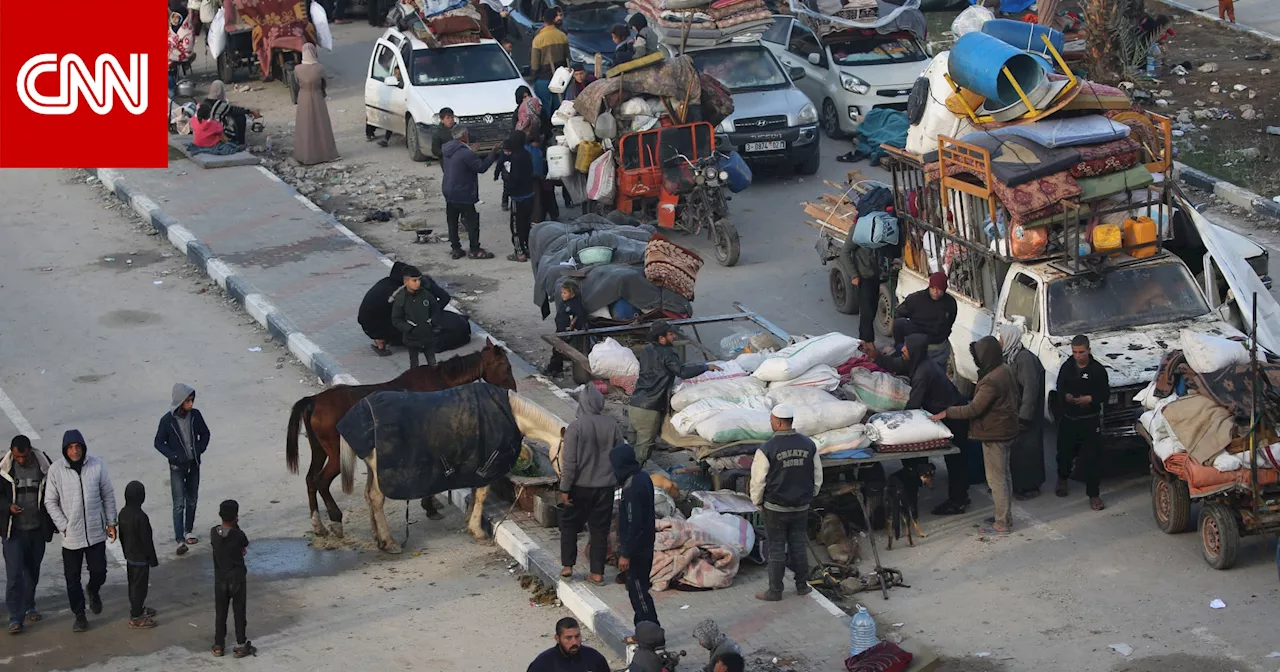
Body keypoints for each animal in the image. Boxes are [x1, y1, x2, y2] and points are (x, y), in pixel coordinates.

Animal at [285, 340, 514, 535]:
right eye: (505, 365)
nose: (512, 389)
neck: (439, 381)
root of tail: (314, 400)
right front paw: (430, 506)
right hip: (336, 455)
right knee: (321, 482)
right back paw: (335, 519)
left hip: (319, 450)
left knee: (310, 480)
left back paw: (318, 524)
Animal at [337, 378, 568, 552]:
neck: (512, 414)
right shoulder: (487, 466)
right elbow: (481, 495)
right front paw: (477, 530)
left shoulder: (477, 465)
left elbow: (475, 494)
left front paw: (469, 520)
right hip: (381, 474)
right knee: (376, 498)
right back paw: (390, 542)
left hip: (372, 470)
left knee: (368, 496)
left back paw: (378, 538)